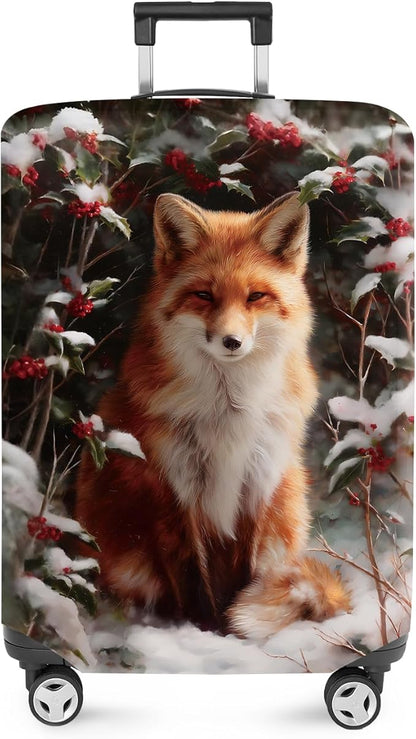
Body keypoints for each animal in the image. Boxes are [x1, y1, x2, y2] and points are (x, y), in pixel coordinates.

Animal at [75, 191, 351, 638]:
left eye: (255, 296)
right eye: (204, 295)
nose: (232, 341)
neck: (229, 410)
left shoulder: (255, 484)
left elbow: (243, 576)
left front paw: (230, 630)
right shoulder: (172, 491)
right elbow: (190, 578)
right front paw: (202, 629)